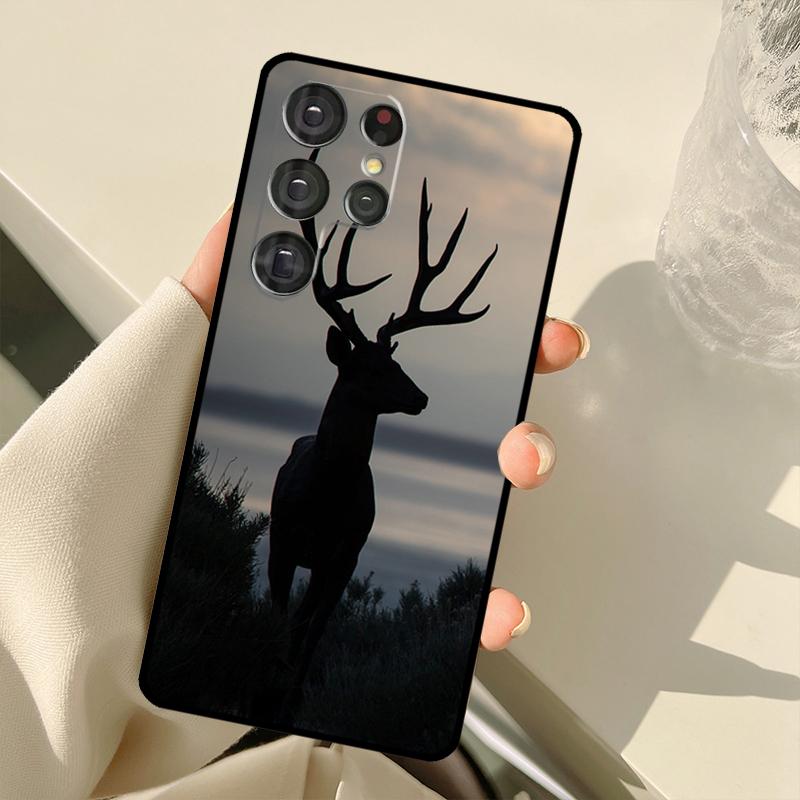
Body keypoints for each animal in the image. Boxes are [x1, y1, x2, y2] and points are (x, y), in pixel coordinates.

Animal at [267, 179, 499, 697]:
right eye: (372, 368)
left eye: (396, 362)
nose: (421, 397)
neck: (324, 501)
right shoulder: (282, 540)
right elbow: (279, 621)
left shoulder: (343, 557)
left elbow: (308, 635)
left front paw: (288, 694)